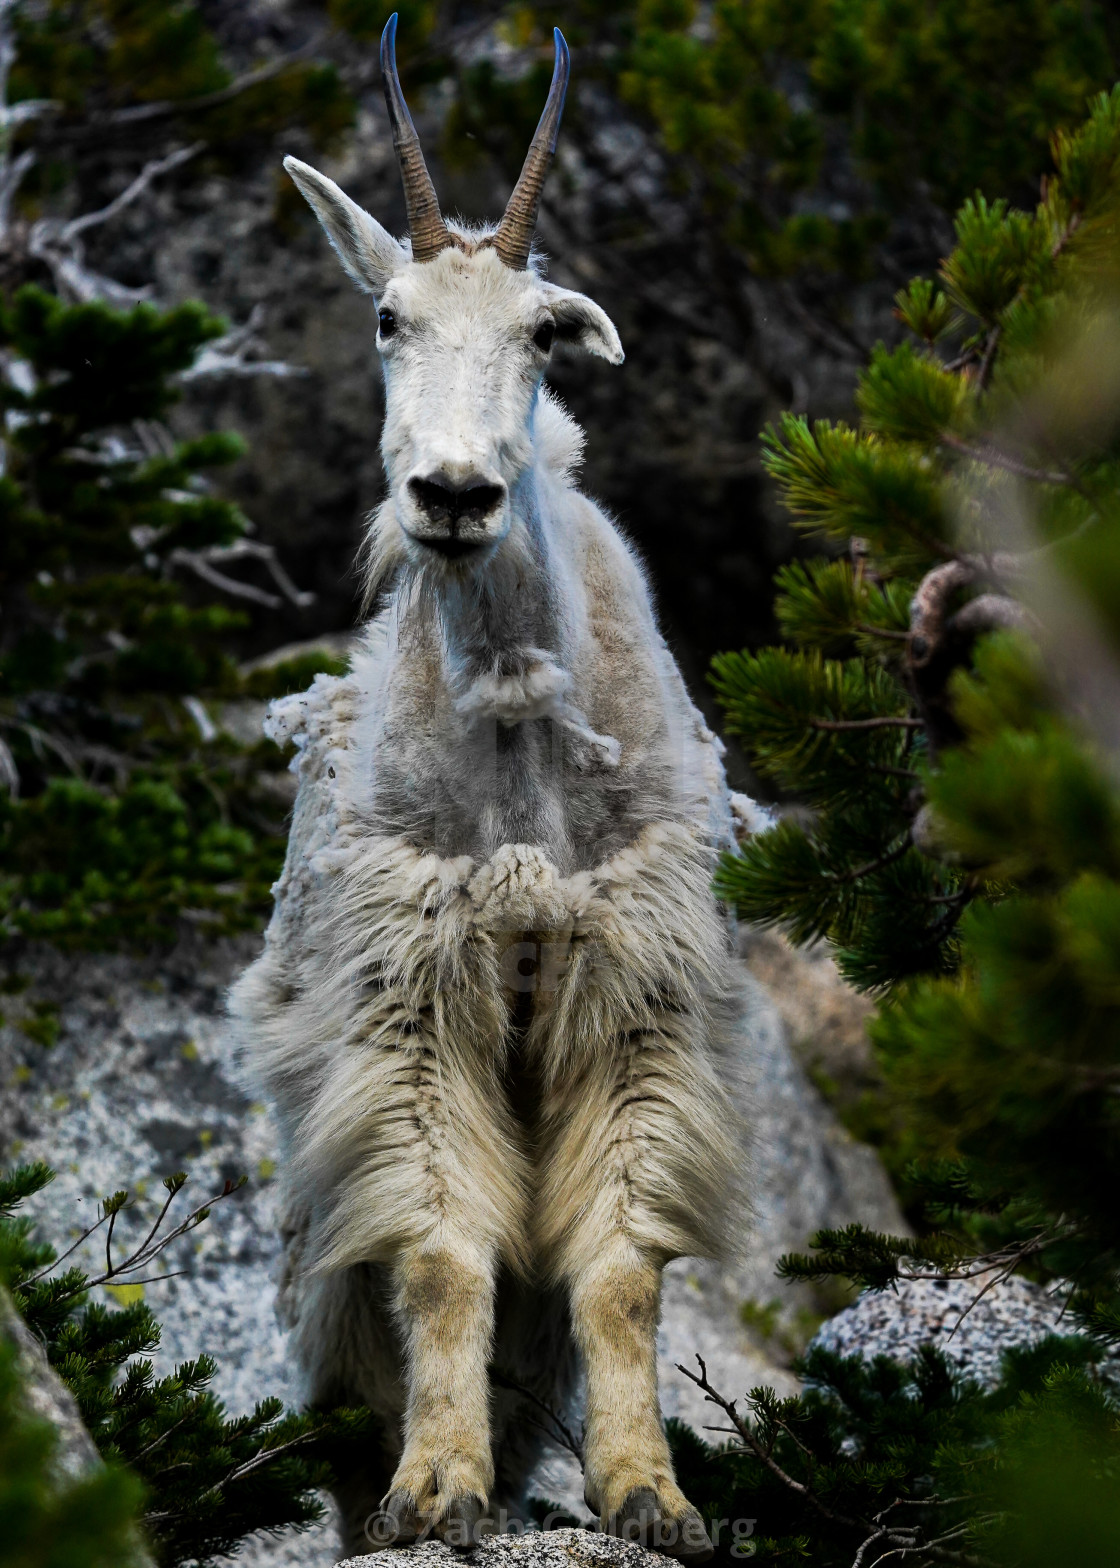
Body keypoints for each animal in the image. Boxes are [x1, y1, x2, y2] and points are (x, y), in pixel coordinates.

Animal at [235, 18, 759, 1561]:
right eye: (386, 318)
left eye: (540, 332)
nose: (455, 495)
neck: (524, 748)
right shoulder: (410, 1002)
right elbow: (444, 1260)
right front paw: (437, 1487)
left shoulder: (637, 995)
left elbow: (621, 1276)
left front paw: (652, 1495)